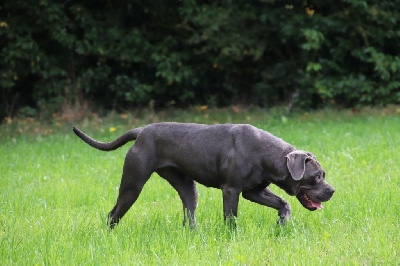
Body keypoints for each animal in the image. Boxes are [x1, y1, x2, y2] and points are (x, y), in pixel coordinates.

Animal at [72, 123, 334, 229]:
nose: (332, 190)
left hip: (187, 187)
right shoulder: (232, 190)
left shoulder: (253, 191)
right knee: (113, 214)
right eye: (316, 177)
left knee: (189, 215)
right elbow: (231, 218)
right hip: (132, 186)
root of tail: (141, 131)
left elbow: (284, 203)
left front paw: (282, 223)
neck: (267, 155)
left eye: (323, 175)